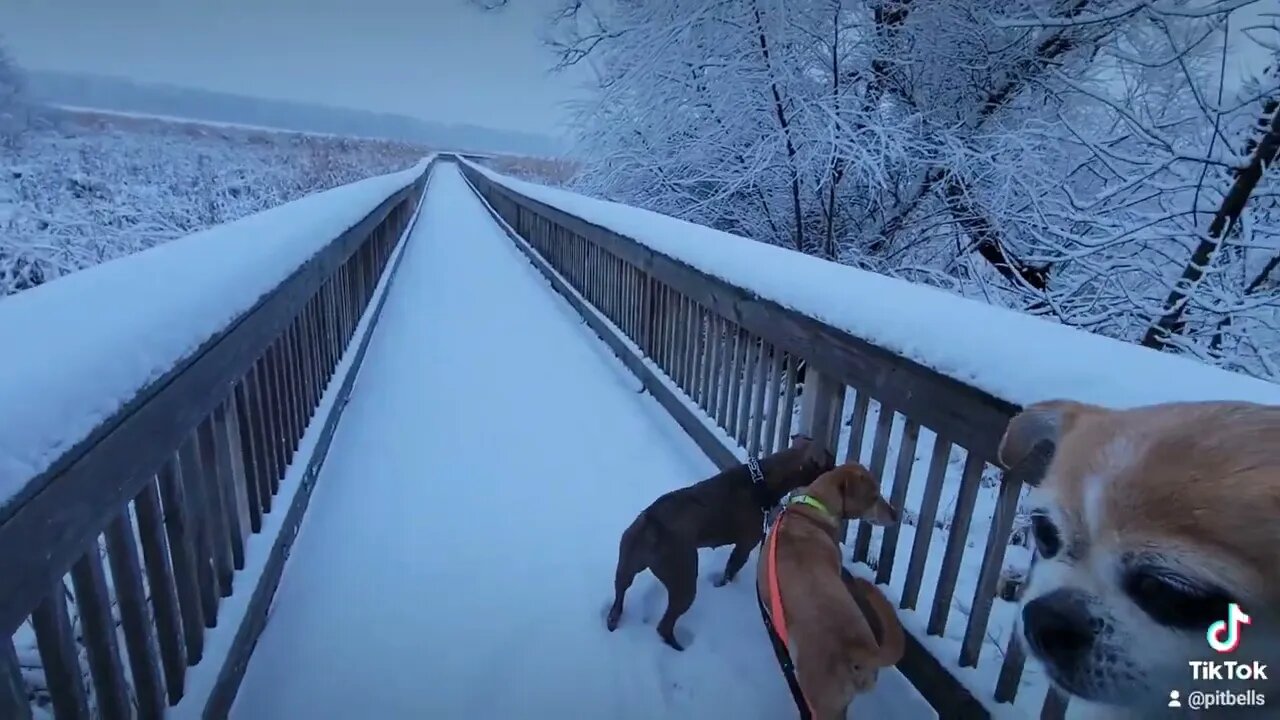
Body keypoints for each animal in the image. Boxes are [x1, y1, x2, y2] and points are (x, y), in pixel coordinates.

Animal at [609, 435, 839, 648]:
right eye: (829, 461)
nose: (838, 468)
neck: (763, 479)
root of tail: (651, 522)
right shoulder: (745, 546)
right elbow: (730, 570)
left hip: (626, 567)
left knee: (620, 595)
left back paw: (613, 620)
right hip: (684, 583)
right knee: (665, 625)